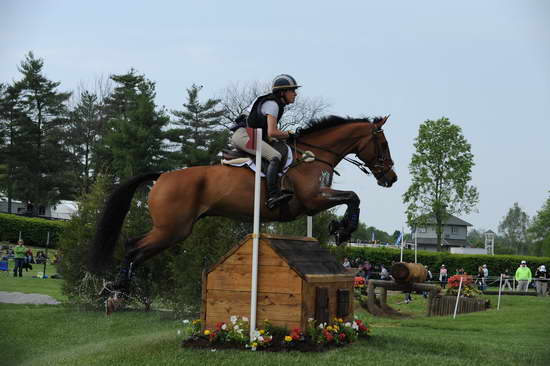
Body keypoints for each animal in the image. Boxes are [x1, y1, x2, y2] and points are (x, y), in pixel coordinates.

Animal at [91, 114, 402, 288]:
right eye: (384, 144)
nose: (391, 177)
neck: (315, 155)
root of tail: (164, 175)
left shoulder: (313, 202)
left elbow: (351, 198)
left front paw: (340, 229)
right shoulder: (312, 199)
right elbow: (353, 197)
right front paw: (343, 230)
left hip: (173, 230)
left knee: (136, 247)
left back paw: (121, 284)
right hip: (172, 229)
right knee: (134, 246)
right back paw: (121, 285)